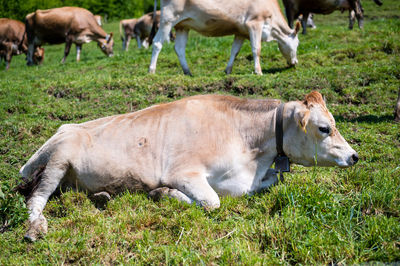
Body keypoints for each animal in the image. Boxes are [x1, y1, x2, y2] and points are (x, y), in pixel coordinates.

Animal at [18, 91, 360, 241]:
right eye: (324, 128)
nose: (355, 156)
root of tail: (65, 127)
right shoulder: (184, 172)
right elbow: (211, 202)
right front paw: (162, 194)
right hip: (57, 161)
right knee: (35, 199)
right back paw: (36, 228)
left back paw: (102, 196)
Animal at [149, 0, 300, 76]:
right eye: (297, 44)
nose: (295, 62)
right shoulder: (254, 23)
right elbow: (256, 49)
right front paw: (258, 71)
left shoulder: (241, 31)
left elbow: (235, 51)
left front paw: (228, 70)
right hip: (168, 19)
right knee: (157, 43)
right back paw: (152, 70)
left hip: (182, 25)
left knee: (179, 48)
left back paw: (188, 72)